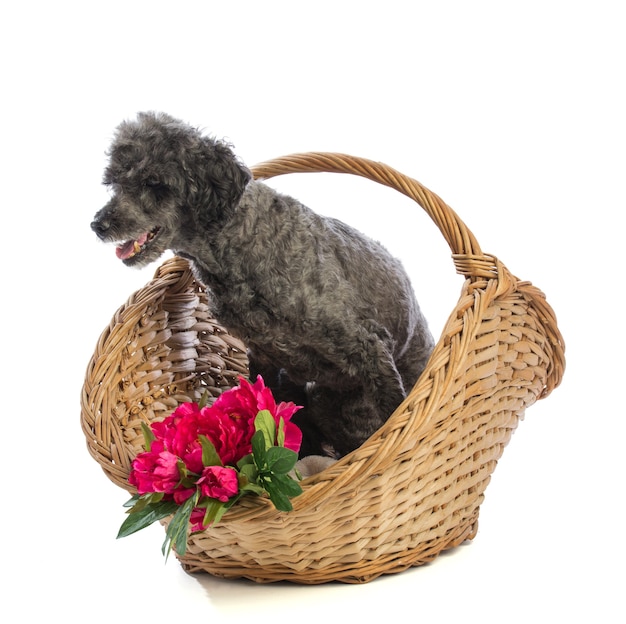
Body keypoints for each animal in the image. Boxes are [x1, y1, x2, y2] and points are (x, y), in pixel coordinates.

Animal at [91, 112, 434, 456]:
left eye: (154, 182)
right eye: (114, 182)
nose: (98, 224)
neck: (241, 250)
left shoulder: (369, 348)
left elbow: (393, 410)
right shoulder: (264, 358)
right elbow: (267, 413)